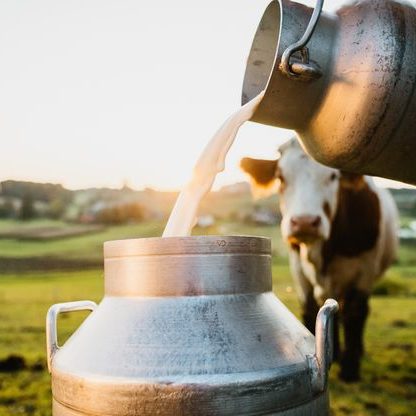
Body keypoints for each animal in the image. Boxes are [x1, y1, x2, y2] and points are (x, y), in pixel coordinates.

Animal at [240, 138, 400, 382]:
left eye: (333, 176)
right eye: (281, 177)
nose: (305, 222)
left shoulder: (364, 270)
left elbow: (355, 312)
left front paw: (350, 368)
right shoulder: (298, 269)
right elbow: (309, 309)